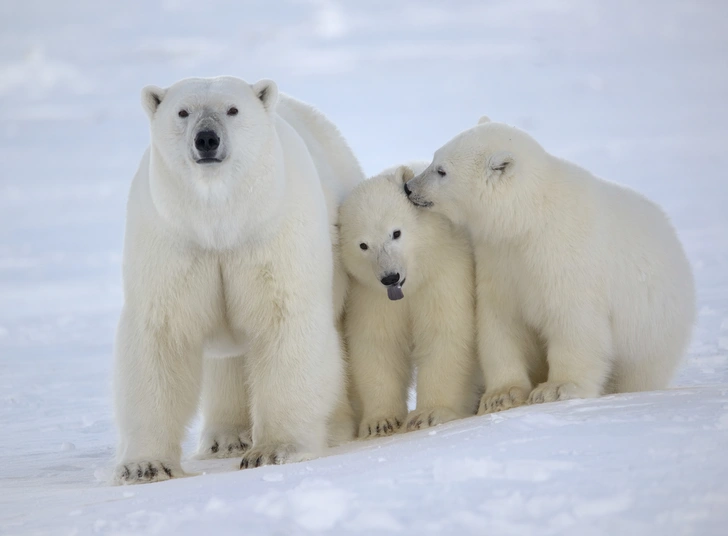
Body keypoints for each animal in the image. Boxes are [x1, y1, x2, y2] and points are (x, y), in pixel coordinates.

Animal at [114, 73, 364, 484]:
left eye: (232, 109)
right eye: (182, 112)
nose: (207, 139)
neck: (222, 223)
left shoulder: (270, 233)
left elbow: (284, 321)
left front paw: (274, 450)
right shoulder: (173, 241)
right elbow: (161, 336)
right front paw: (144, 466)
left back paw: (336, 426)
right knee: (227, 363)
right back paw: (226, 438)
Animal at [338, 161, 480, 438]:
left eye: (396, 233)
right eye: (363, 245)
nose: (390, 277)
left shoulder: (444, 273)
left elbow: (443, 332)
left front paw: (428, 414)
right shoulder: (371, 296)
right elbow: (378, 343)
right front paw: (380, 422)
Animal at [406, 116, 696, 410]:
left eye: (441, 171)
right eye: (434, 158)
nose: (409, 188)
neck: (529, 218)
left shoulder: (565, 253)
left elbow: (572, 319)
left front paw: (556, 389)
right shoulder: (500, 260)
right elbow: (500, 320)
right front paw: (501, 395)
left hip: (652, 326)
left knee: (640, 369)